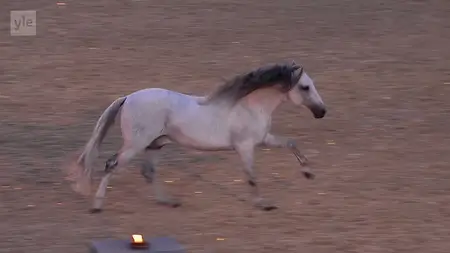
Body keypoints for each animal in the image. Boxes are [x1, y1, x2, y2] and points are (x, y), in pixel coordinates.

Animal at [66, 60, 326, 211]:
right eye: (305, 87)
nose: (322, 112)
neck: (249, 106)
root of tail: (128, 97)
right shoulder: (245, 146)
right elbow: (251, 176)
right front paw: (263, 204)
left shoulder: (263, 140)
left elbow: (291, 143)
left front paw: (308, 173)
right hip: (135, 145)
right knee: (111, 164)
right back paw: (97, 205)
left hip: (155, 145)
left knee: (148, 172)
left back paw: (169, 201)